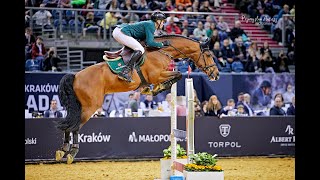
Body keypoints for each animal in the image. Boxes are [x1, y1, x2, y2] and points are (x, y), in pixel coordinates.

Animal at [55, 34, 220, 164]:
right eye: (209, 55)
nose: (216, 74)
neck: (162, 51)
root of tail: (75, 75)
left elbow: (175, 76)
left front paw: (150, 89)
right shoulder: (157, 75)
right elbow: (178, 74)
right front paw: (158, 88)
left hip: (80, 106)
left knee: (69, 124)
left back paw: (63, 150)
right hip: (90, 106)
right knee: (75, 126)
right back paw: (71, 152)